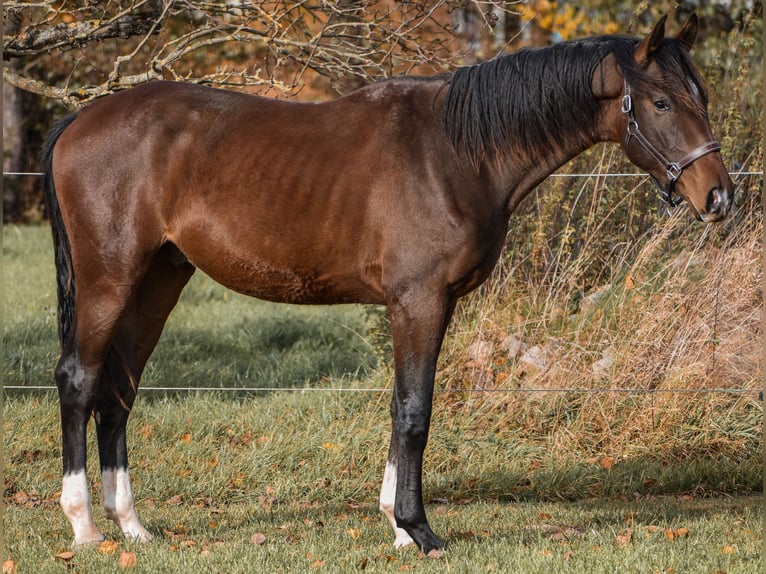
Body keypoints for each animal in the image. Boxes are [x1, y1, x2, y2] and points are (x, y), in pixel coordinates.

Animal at [42, 14, 732, 553]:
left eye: (701, 96)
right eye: (663, 103)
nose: (719, 197)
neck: (455, 152)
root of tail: (79, 120)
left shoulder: (429, 304)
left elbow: (403, 404)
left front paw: (396, 523)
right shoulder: (418, 301)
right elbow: (415, 411)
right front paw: (418, 529)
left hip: (158, 280)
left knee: (118, 391)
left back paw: (132, 526)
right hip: (110, 279)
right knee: (79, 380)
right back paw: (84, 527)